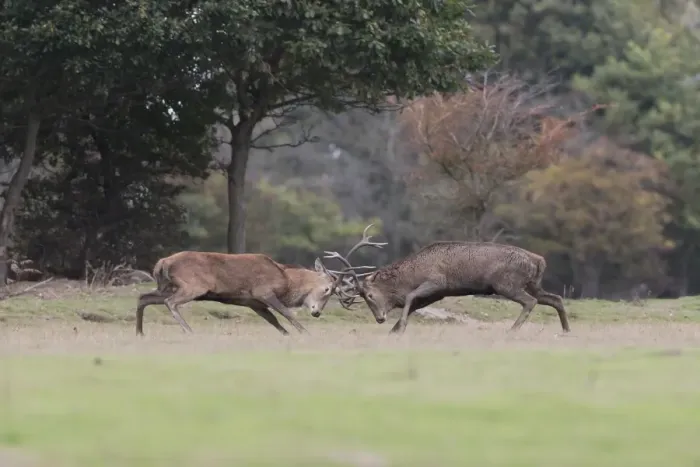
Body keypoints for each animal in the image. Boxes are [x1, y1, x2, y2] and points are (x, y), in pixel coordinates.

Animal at [135, 251, 353, 336]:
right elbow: (287, 314)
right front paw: (305, 333)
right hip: (193, 286)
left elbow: (274, 321)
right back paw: (189, 331)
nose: (317, 312)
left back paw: (140, 332)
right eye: (327, 290)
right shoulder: (263, 291)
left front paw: (288, 335)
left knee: (143, 297)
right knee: (171, 302)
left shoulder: (253, 302)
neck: (286, 281)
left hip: (165, 286)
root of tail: (162, 263)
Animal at [324, 225, 571, 335]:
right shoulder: (439, 293)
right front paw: (395, 330)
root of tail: (539, 260)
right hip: (532, 284)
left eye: (370, 294)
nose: (379, 319)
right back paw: (566, 330)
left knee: (531, 301)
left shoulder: (437, 282)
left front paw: (399, 327)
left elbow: (410, 297)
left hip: (506, 283)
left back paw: (511, 331)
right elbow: (415, 305)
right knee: (555, 298)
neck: (412, 273)